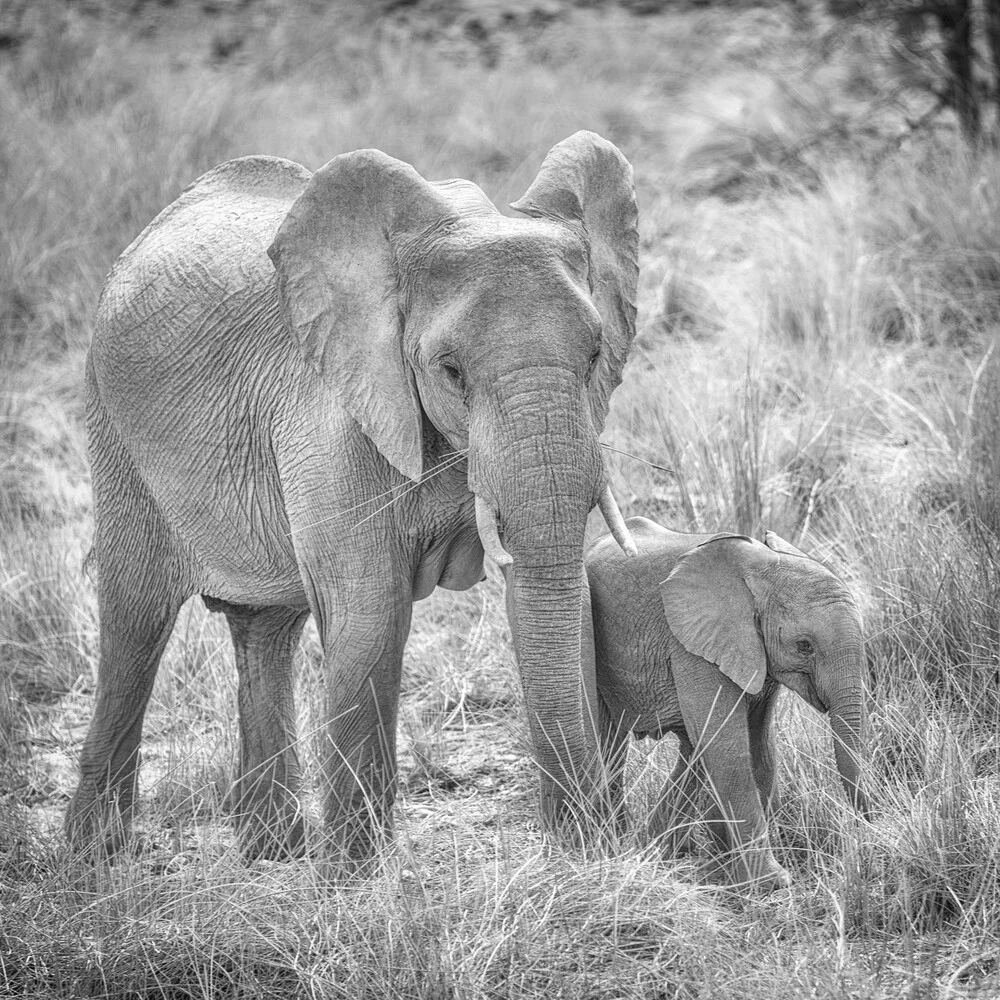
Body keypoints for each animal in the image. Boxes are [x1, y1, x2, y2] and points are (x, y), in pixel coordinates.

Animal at [64, 131, 640, 868]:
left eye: (596, 355)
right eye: (450, 370)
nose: (591, 843)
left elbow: (548, 590)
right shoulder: (334, 416)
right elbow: (371, 610)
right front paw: (358, 881)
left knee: (265, 629)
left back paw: (272, 854)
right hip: (113, 425)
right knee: (136, 622)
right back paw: (95, 861)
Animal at [584, 520, 868, 888]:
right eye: (804, 645)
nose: (866, 827)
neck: (763, 571)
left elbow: (760, 747)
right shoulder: (692, 643)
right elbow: (728, 750)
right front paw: (772, 882)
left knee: (690, 749)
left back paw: (661, 849)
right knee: (610, 741)